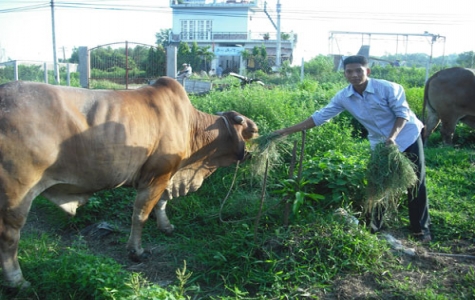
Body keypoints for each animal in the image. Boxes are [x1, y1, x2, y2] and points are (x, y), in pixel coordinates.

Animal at [0, 78, 258, 288]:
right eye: (244, 123)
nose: (256, 127)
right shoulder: (155, 176)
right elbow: (141, 214)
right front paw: (136, 251)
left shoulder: (166, 175)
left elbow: (161, 203)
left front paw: (166, 226)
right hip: (16, 194)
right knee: (10, 236)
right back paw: (17, 281)